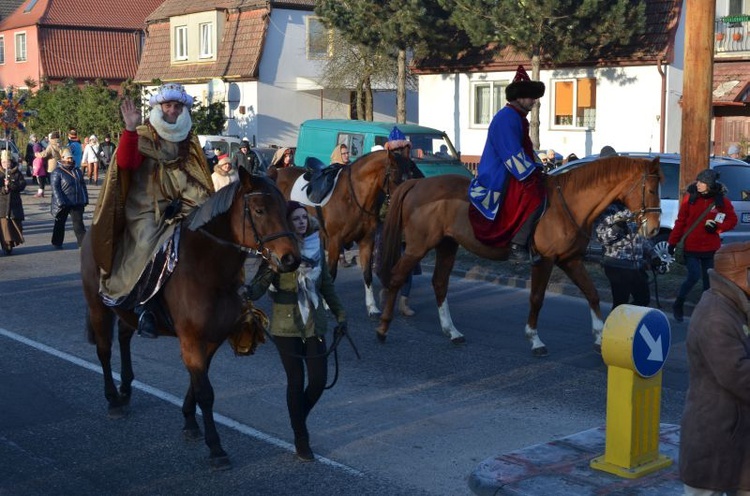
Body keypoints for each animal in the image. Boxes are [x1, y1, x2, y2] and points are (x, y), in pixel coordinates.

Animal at [81, 169, 302, 470]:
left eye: (284, 208)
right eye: (259, 210)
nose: (291, 259)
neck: (209, 268)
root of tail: (91, 233)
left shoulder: (210, 339)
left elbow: (197, 384)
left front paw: (190, 422)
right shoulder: (191, 338)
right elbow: (205, 392)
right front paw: (216, 447)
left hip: (125, 310)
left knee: (124, 338)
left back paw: (125, 388)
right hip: (98, 306)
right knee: (104, 350)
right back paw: (114, 399)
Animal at [274, 149, 408, 316]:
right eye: (396, 177)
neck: (352, 196)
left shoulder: (367, 240)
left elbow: (367, 274)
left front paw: (372, 307)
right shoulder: (335, 241)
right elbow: (331, 273)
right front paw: (327, 304)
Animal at [378, 157, 660, 354]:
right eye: (651, 189)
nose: (655, 229)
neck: (568, 204)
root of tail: (418, 183)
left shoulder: (570, 260)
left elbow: (591, 294)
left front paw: (600, 336)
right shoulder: (544, 261)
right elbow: (536, 299)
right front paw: (535, 340)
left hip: (447, 246)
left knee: (439, 283)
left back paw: (452, 331)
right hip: (418, 247)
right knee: (396, 277)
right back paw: (382, 327)